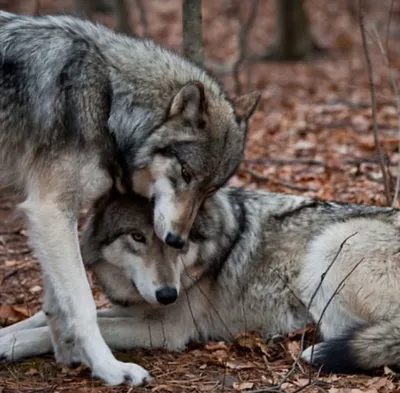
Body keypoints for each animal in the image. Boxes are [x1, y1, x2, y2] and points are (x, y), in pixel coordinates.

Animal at [0, 10, 260, 384]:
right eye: (185, 173)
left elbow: (56, 302)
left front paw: (65, 353)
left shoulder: (52, 214)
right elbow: (82, 303)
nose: (177, 240)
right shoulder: (49, 207)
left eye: (210, 188)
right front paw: (109, 368)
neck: (108, 100)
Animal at [3, 188, 400, 376]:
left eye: (178, 240)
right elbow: (43, 318)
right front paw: (9, 334)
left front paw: (10, 345)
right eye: (137, 237)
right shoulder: (140, 310)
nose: (167, 294)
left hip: (329, 247)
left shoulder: (165, 330)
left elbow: (58, 331)